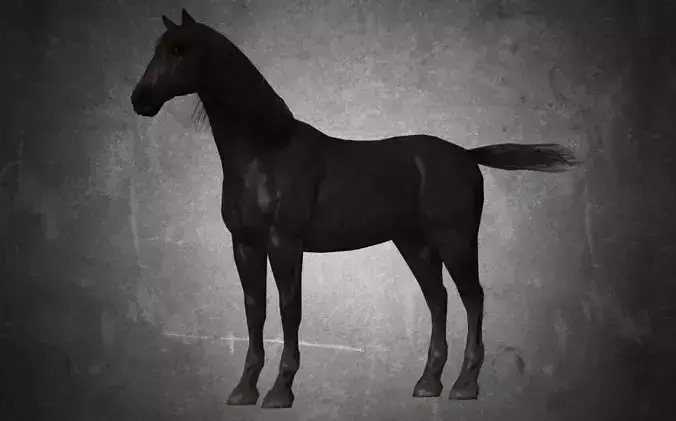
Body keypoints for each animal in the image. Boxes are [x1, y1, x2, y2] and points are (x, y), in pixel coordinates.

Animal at [131, 9, 579, 409]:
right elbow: (254, 310)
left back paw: (465, 385)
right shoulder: (244, 244)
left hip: (455, 240)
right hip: (413, 243)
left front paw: (280, 391)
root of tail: (466, 155)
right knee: (438, 299)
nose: (140, 100)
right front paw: (243, 391)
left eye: (179, 49)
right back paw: (428, 383)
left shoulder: (284, 243)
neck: (266, 151)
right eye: (158, 48)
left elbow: (289, 310)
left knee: (473, 299)